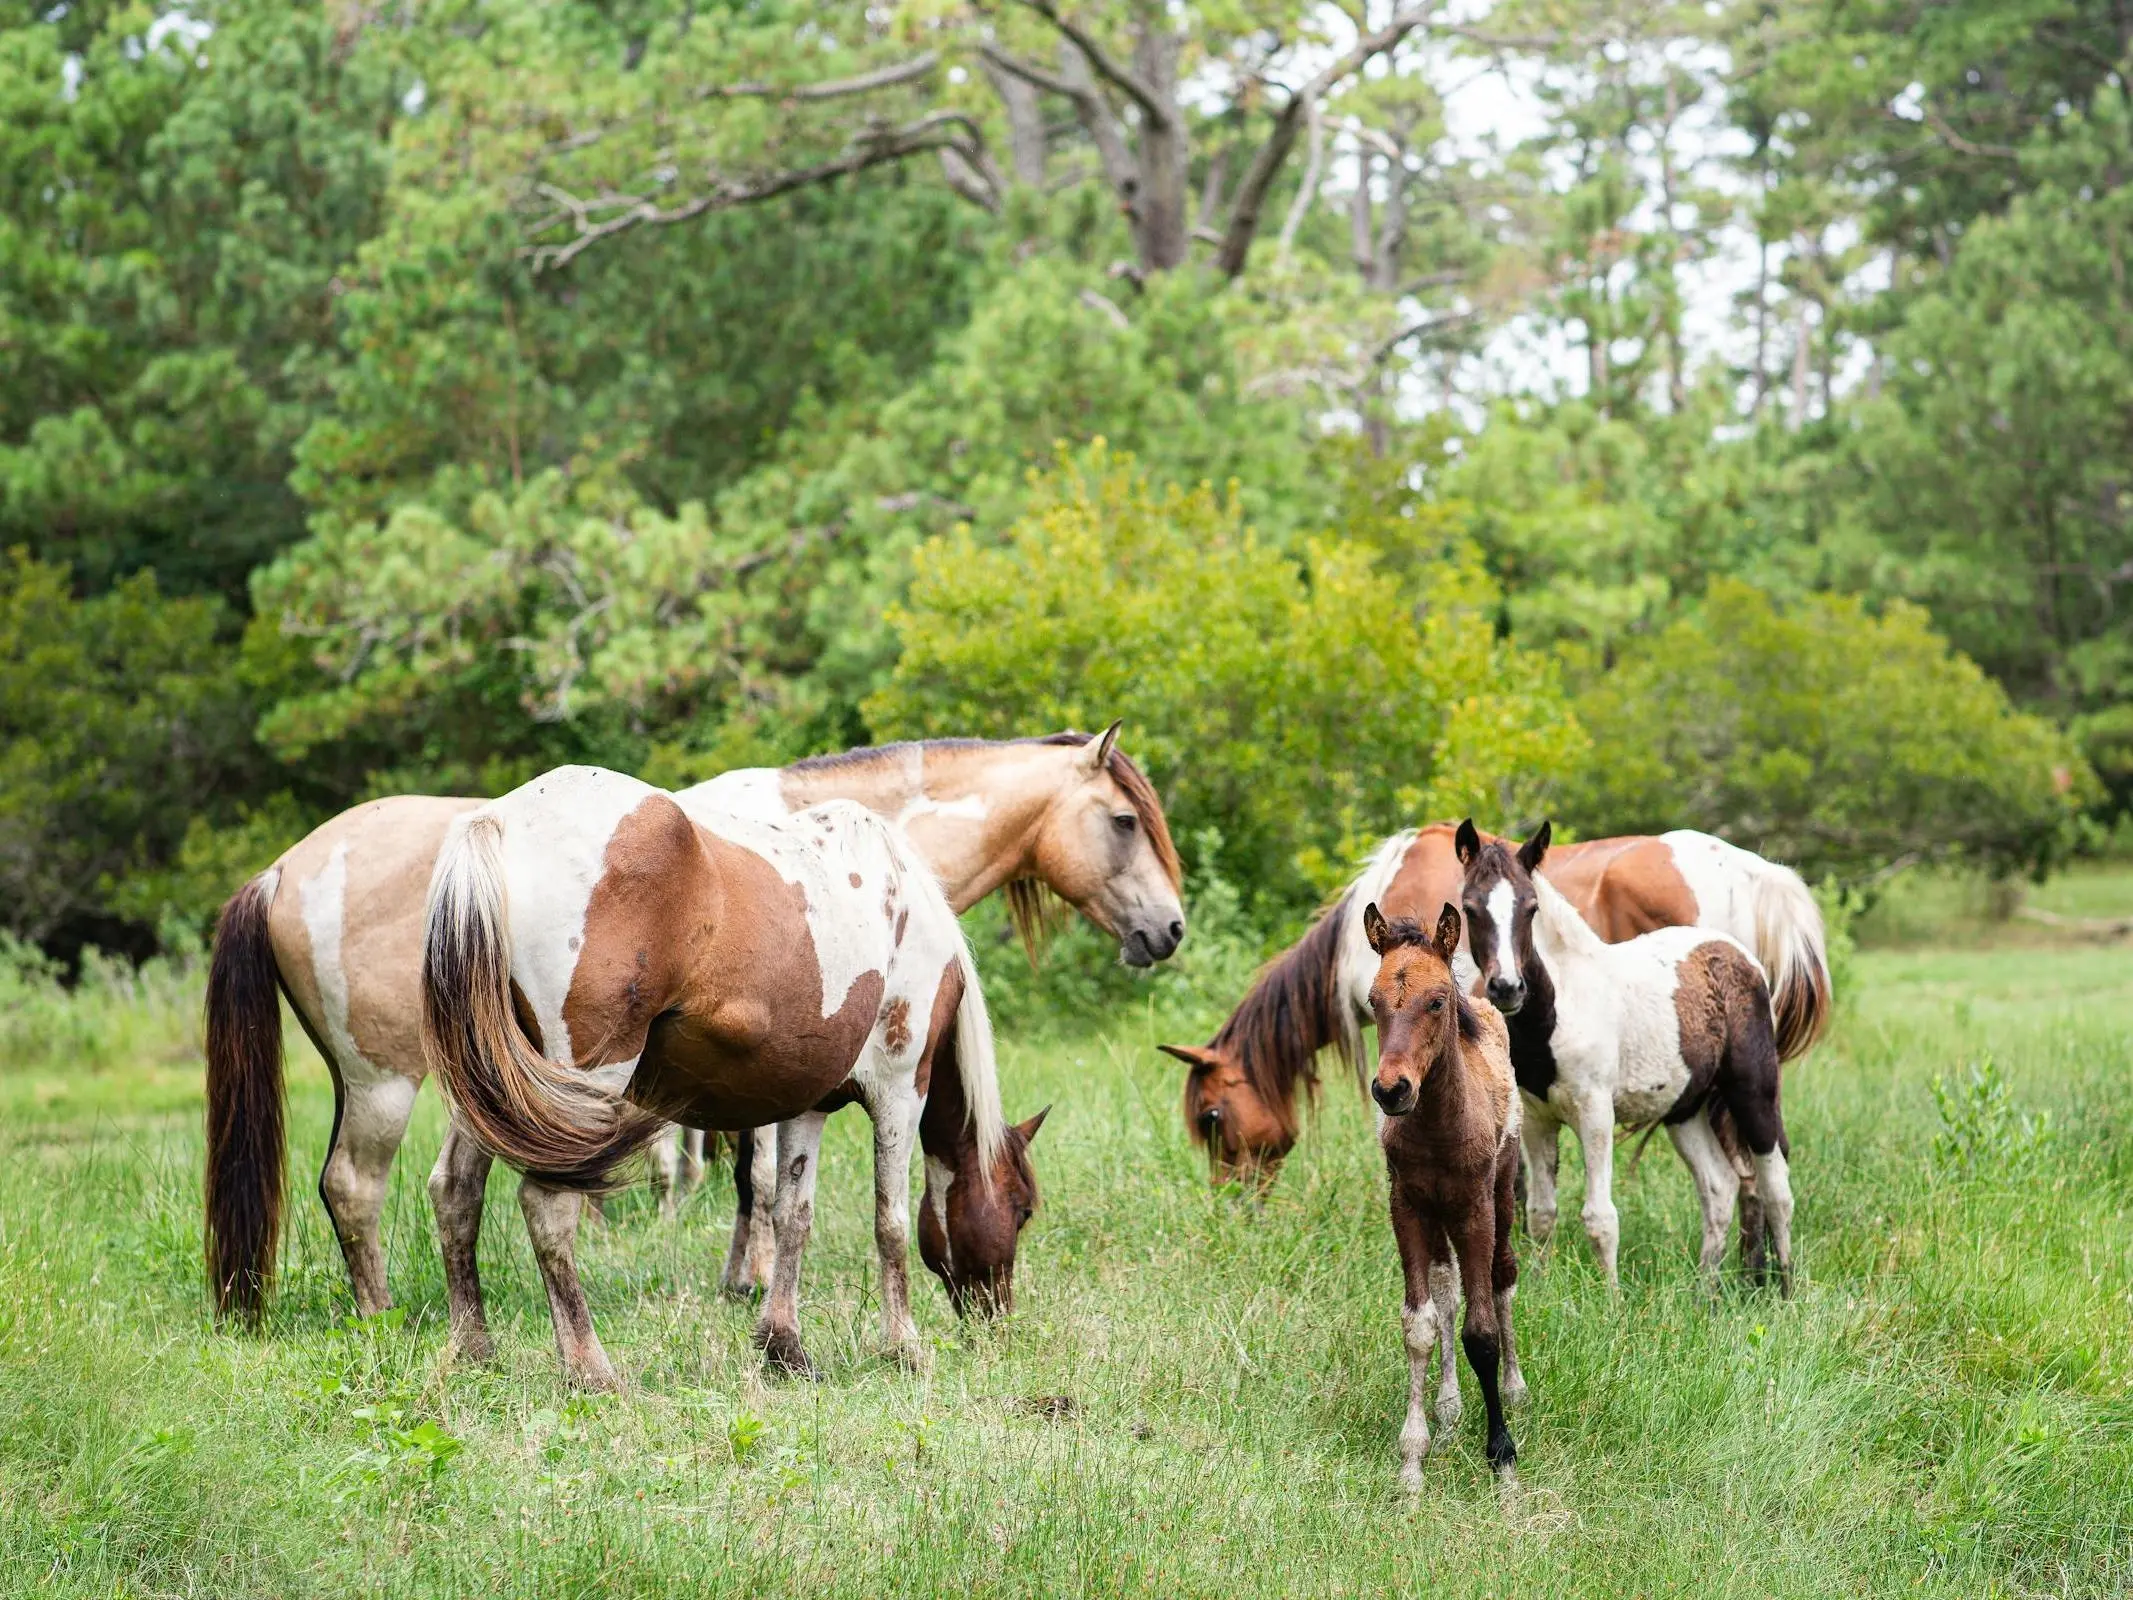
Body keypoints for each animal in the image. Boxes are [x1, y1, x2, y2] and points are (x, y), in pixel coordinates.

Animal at [200, 725, 1185, 1339]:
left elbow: (761, 1181)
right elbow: (768, 1182)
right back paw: (391, 1325)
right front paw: (751, 1284)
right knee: (356, 1189)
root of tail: (283, 868)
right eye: (1123, 822)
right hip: (392, 1083)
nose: (1169, 929)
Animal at [1356, 904, 1527, 1493]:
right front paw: (1413, 1459)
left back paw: (1515, 1388)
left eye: (1436, 1001)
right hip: (1437, 1218)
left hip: (1502, 1194)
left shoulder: (1475, 1208)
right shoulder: (1406, 1206)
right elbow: (1421, 1325)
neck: (1436, 1128)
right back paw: (1449, 1409)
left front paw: (1502, 1456)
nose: (1391, 1089)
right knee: (1448, 1287)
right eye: (1373, 1001)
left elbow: (1481, 1332)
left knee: (1501, 1276)